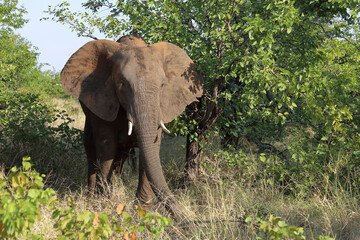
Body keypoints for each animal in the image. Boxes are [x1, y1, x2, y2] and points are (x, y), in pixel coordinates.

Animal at [61, 34, 202, 217]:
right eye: (122, 84)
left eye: (163, 85)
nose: (187, 217)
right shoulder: (103, 100)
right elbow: (106, 148)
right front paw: (103, 206)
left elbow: (150, 150)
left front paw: (143, 212)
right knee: (92, 154)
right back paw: (91, 200)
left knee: (119, 159)